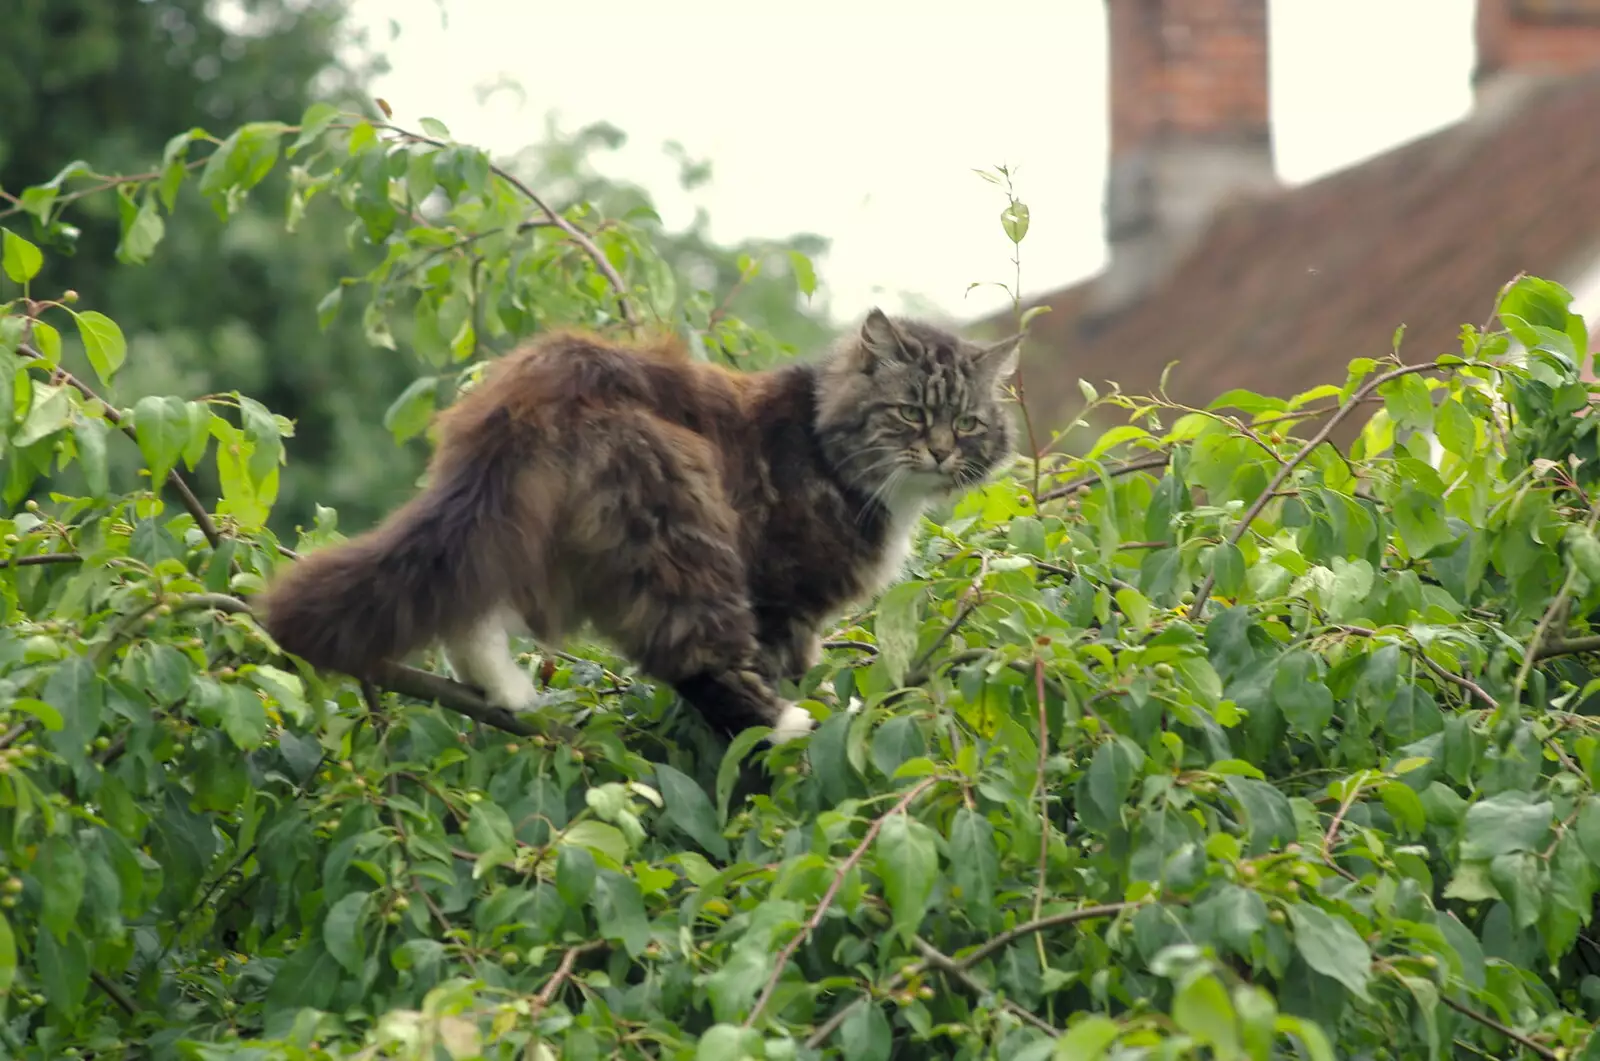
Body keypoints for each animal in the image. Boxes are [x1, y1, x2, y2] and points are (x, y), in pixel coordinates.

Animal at [256, 307, 1017, 742]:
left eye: (968, 423)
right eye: (911, 413)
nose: (941, 451)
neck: (823, 438)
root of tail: (548, 377)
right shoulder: (785, 596)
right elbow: (791, 660)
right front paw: (811, 698)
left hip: (519, 525)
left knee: (469, 605)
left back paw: (506, 693)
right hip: (677, 530)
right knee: (698, 659)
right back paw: (787, 726)